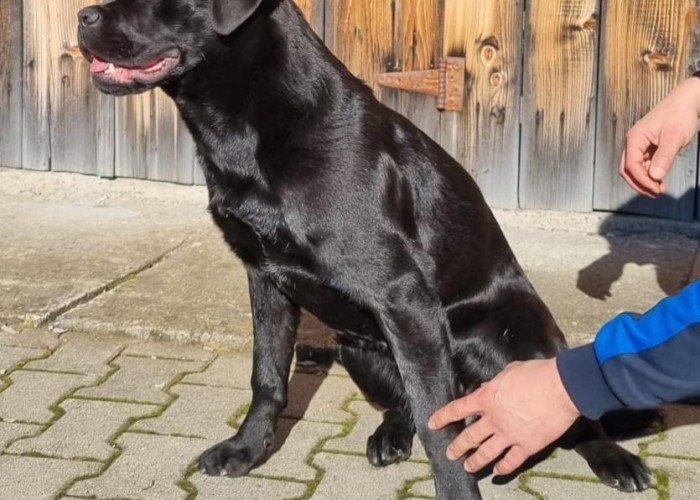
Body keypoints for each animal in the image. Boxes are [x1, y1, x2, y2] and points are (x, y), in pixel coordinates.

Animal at [77, 0, 652, 497]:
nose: (81, 16)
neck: (254, 126)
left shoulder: (403, 296)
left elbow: (441, 429)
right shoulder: (264, 277)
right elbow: (267, 377)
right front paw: (247, 450)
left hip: (514, 337)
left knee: (569, 412)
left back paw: (614, 459)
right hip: (359, 348)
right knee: (402, 406)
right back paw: (390, 436)